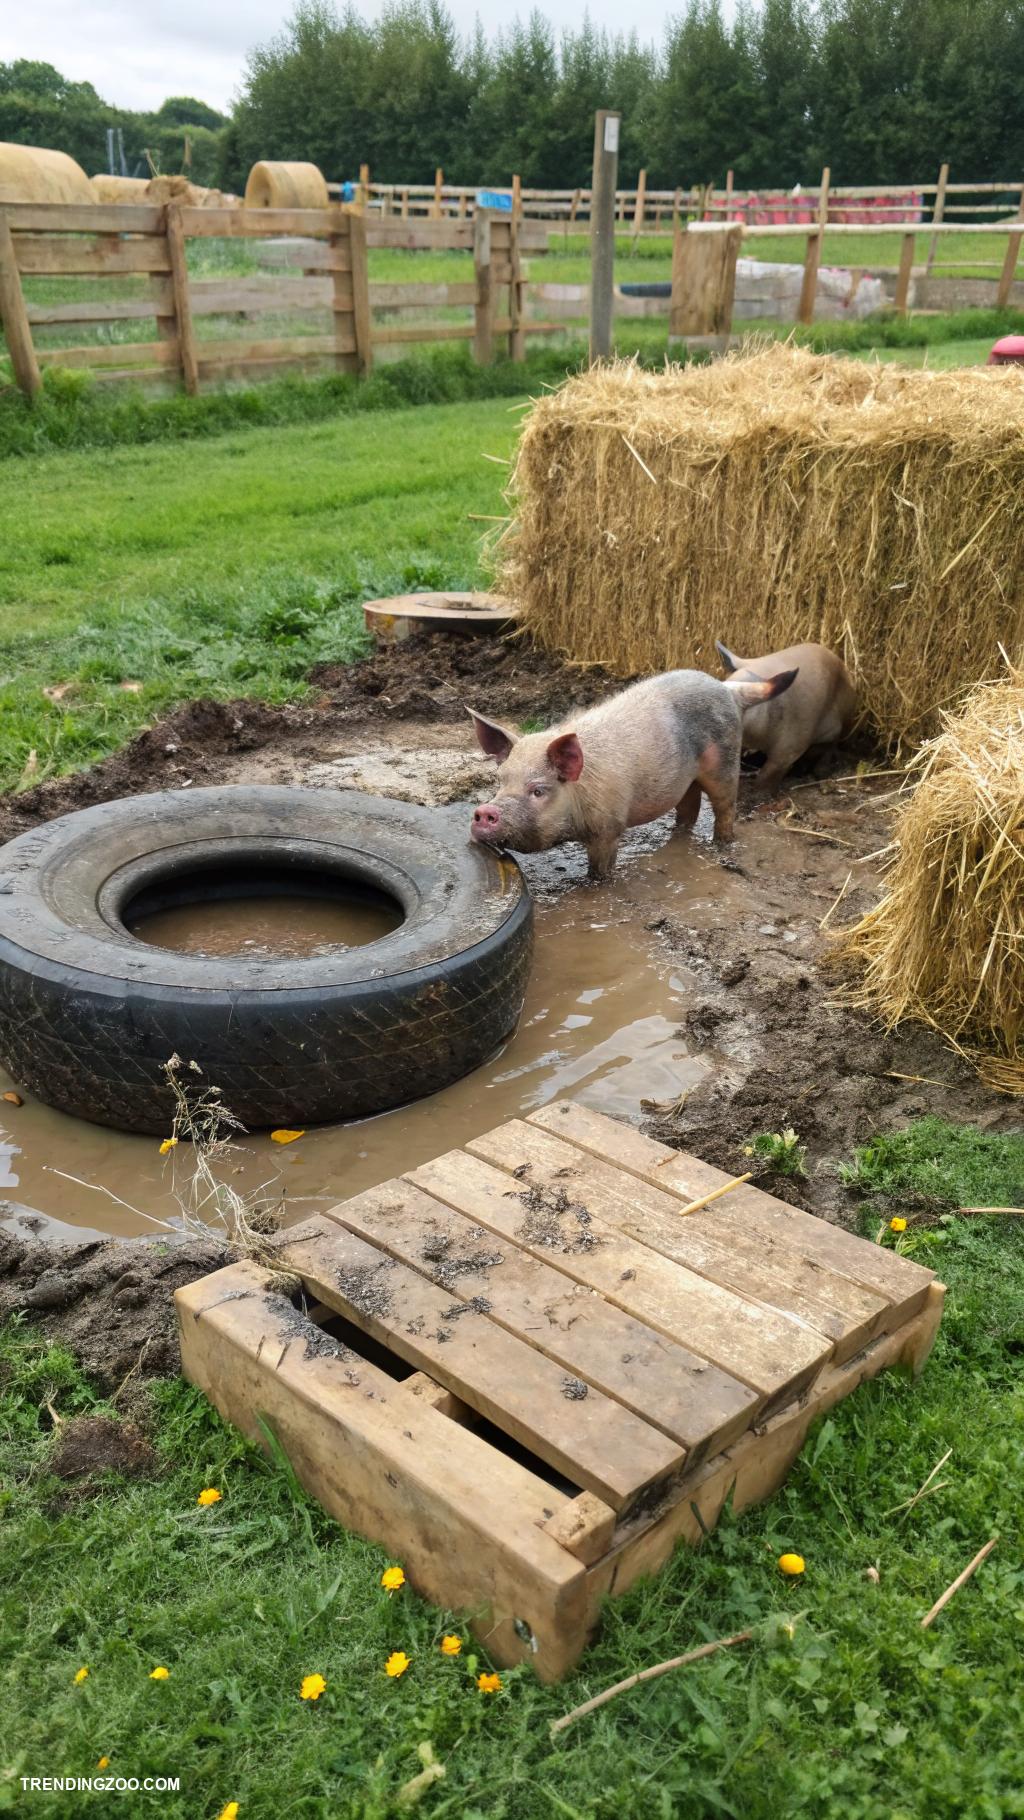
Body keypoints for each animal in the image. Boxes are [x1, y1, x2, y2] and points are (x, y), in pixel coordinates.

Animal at [468, 666, 797, 880]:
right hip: (684, 777)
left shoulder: (609, 828)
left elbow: (600, 871)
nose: (484, 811)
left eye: (538, 790)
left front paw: (594, 884)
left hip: (725, 762)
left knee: (725, 806)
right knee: (688, 807)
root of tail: (727, 688)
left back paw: (722, 845)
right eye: (500, 783)